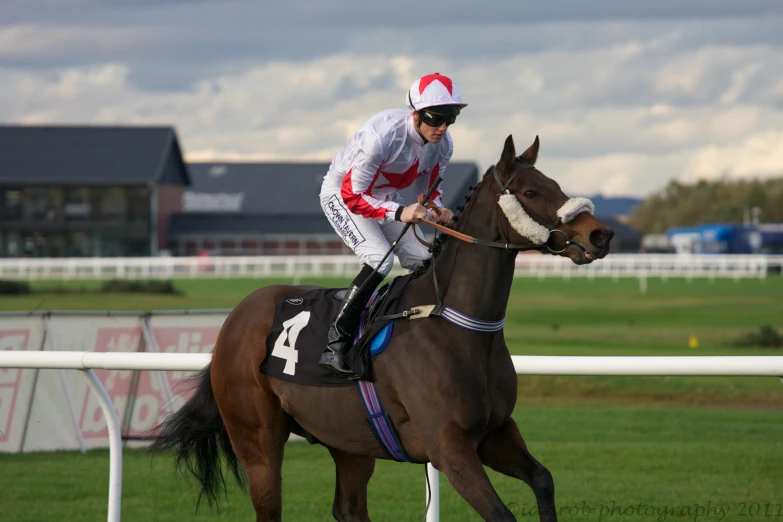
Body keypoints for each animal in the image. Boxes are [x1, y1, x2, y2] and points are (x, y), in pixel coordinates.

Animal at [150, 135, 616, 520]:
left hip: (348, 440)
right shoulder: (450, 447)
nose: (601, 234)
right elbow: (501, 515)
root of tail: (234, 317)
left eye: (555, 183)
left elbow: (543, 481)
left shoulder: (496, 434)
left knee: (349, 509)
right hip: (257, 441)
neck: (460, 330)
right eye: (531, 191)